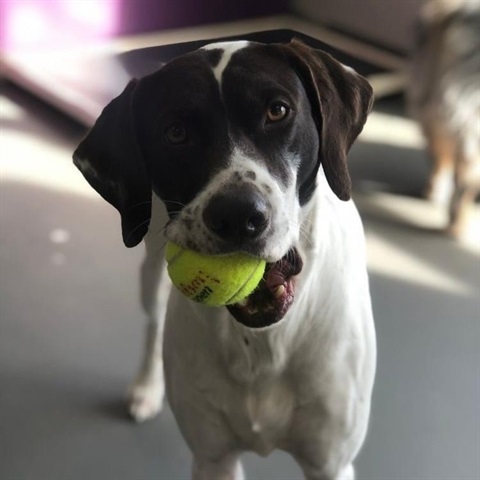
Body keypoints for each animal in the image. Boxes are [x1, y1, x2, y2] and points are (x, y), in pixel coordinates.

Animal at [73, 38, 376, 480]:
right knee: (153, 322)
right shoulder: (214, 457)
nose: (238, 215)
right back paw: (146, 387)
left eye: (278, 111)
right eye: (175, 132)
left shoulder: (330, 463)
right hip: (151, 271)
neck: (263, 343)